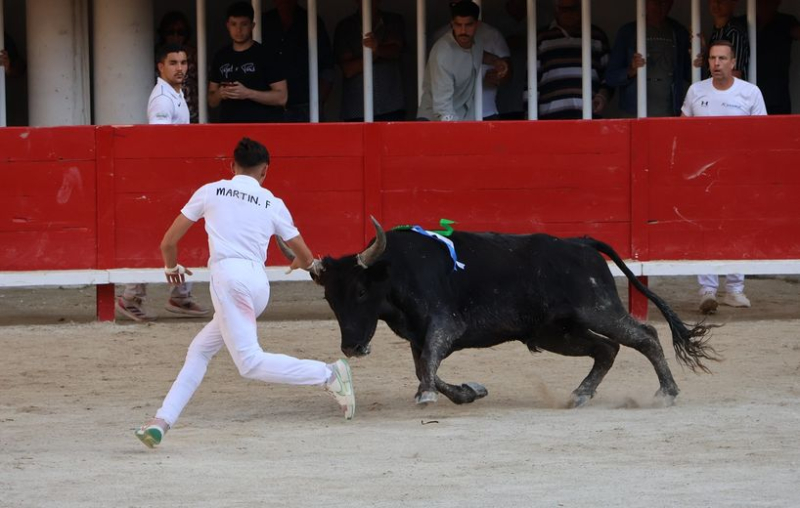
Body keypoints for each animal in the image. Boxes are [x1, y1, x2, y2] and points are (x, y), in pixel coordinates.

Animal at [282, 219, 720, 408]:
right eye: (330, 300)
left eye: (360, 291)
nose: (352, 347)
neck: (396, 268)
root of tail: (580, 242)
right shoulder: (418, 336)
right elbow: (426, 369)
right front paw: (467, 392)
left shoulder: (443, 326)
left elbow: (429, 369)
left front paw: (434, 395)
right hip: (556, 332)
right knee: (606, 350)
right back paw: (581, 393)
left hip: (597, 309)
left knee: (644, 335)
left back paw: (667, 392)